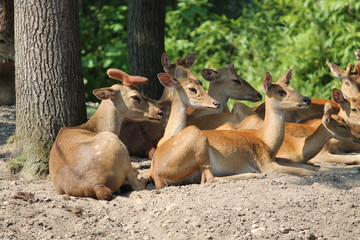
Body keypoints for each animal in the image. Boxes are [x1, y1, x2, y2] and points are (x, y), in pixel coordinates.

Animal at [48, 69, 163, 201]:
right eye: (135, 96)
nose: (160, 112)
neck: (94, 128)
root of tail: (97, 185)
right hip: (118, 146)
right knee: (137, 184)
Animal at [150, 69, 322, 189]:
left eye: (291, 87)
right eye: (281, 91)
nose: (307, 99)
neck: (265, 140)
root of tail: (156, 172)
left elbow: (308, 167)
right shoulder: (265, 163)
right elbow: (310, 172)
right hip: (198, 140)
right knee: (209, 179)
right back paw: (253, 175)